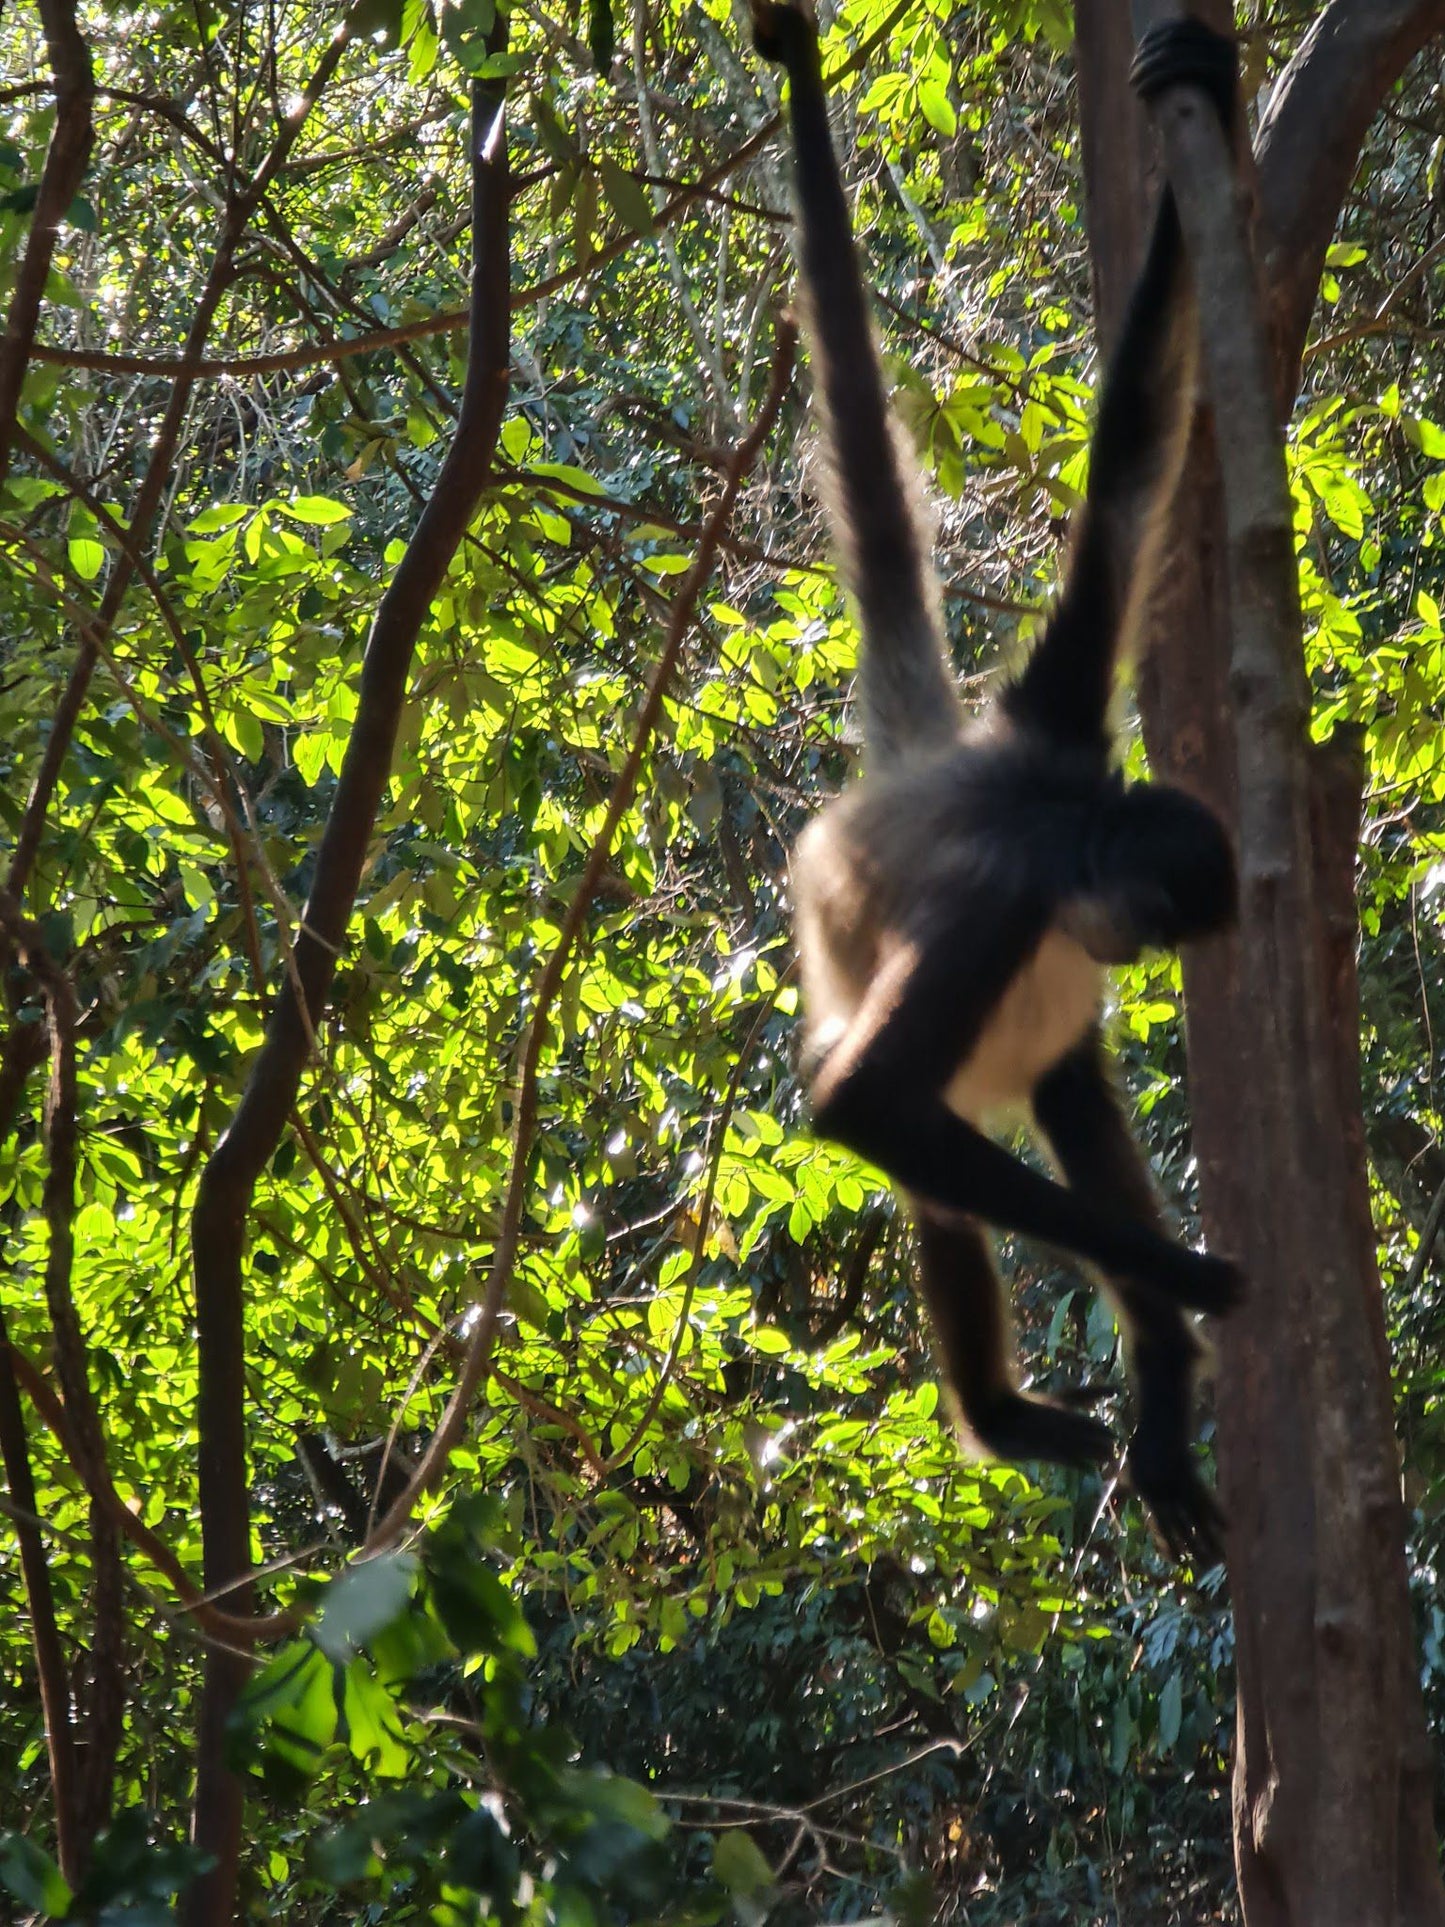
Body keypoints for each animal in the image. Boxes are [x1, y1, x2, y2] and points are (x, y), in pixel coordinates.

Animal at [759, 3, 1248, 1564]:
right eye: (1150, 922)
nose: (1126, 953)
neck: (1057, 818)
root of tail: (914, 764)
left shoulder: (1061, 720)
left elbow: (1134, 441)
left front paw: (1194, 79)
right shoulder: (1003, 890)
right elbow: (860, 1108)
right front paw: (1179, 1273)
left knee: (1073, 1092)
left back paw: (1159, 1399)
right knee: (919, 1135)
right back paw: (1004, 1412)